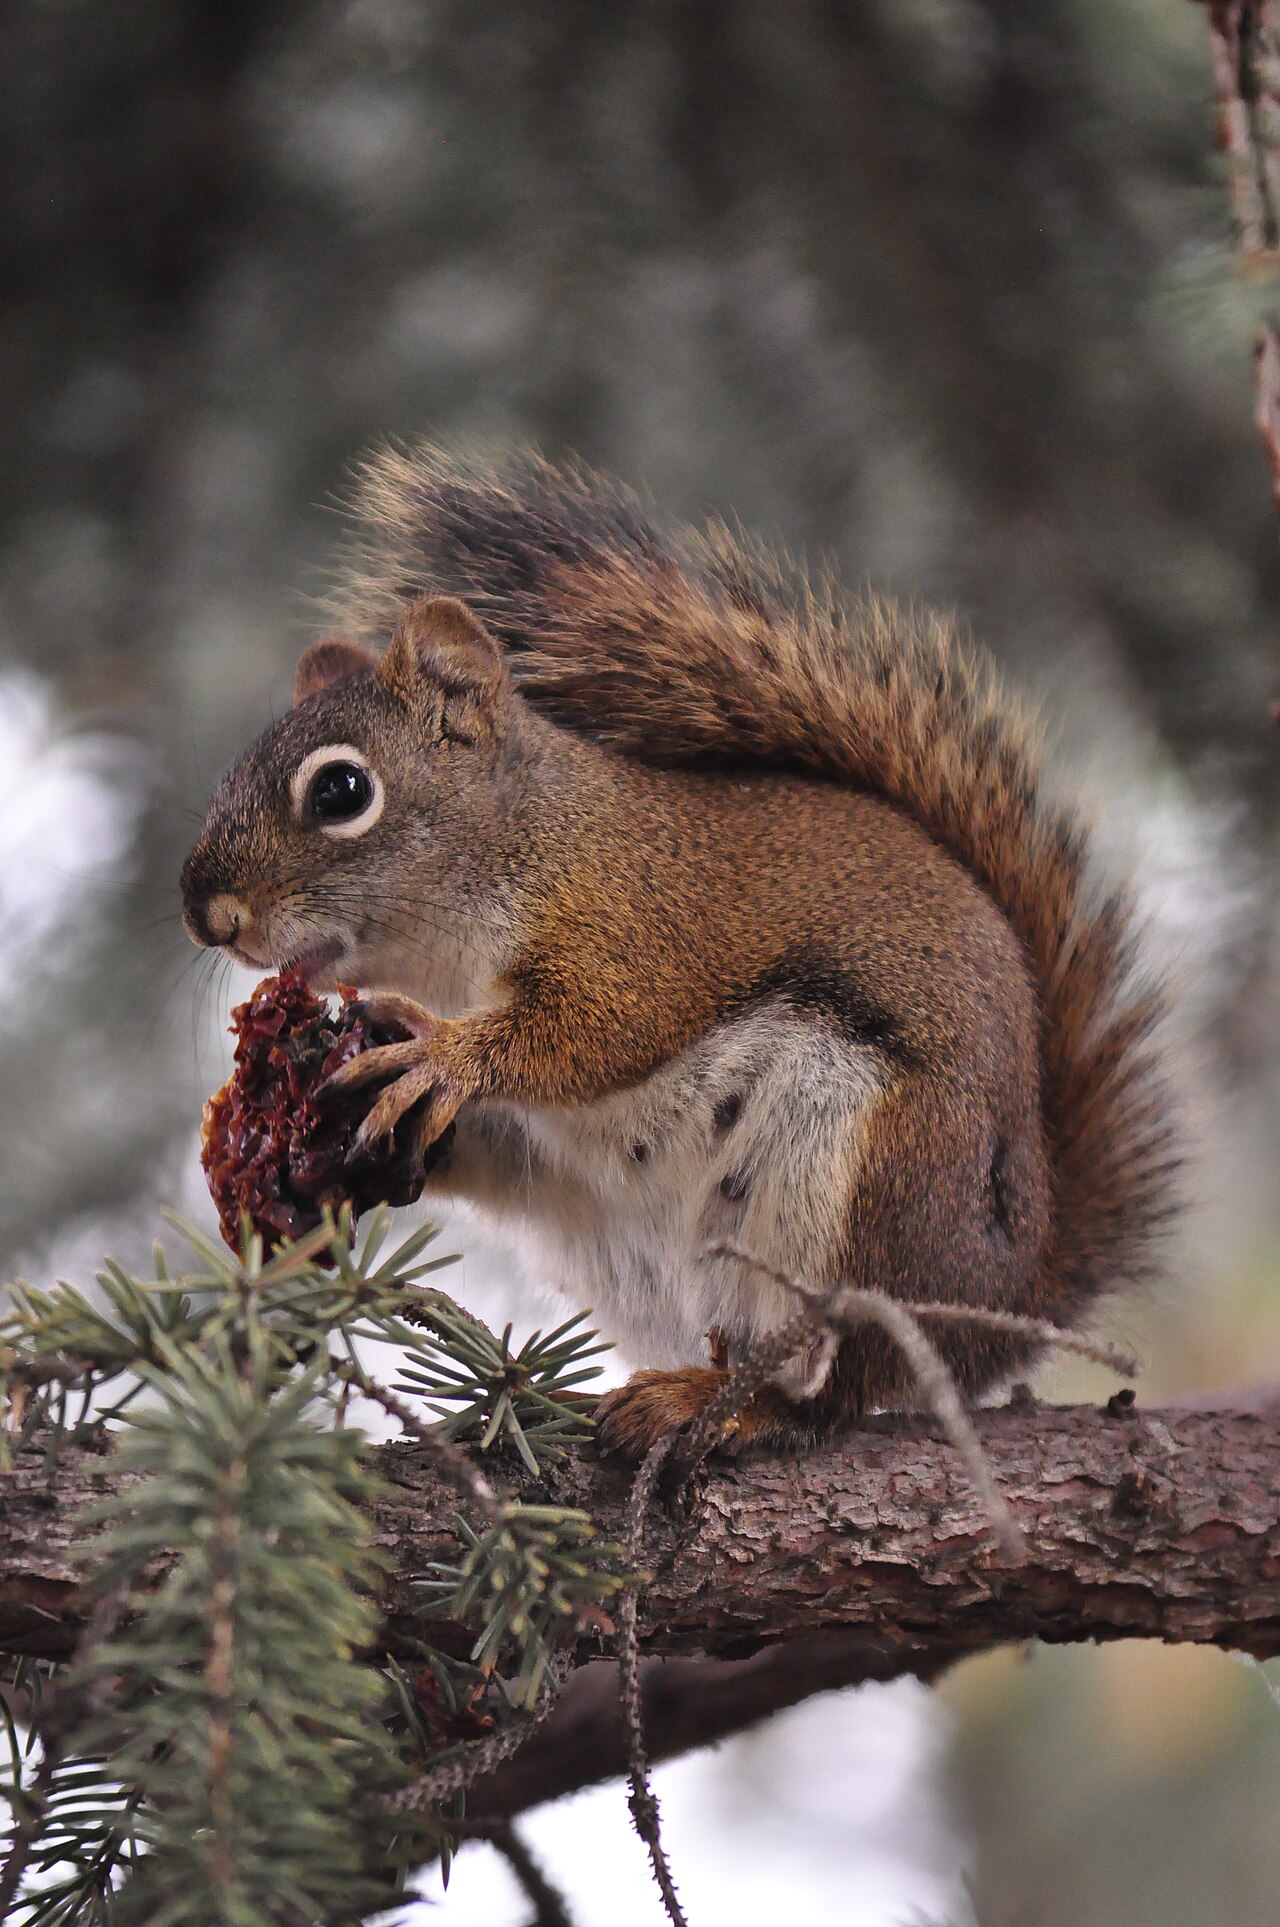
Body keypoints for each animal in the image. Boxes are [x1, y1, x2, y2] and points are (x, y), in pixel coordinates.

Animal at [180, 445, 1177, 1457]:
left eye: (342, 790)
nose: (205, 914)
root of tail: (1000, 1302)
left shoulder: (636, 923)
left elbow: (600, 1028)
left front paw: (442, 1056)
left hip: (861, 1183)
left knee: (827, 1384)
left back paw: (711, 1404)